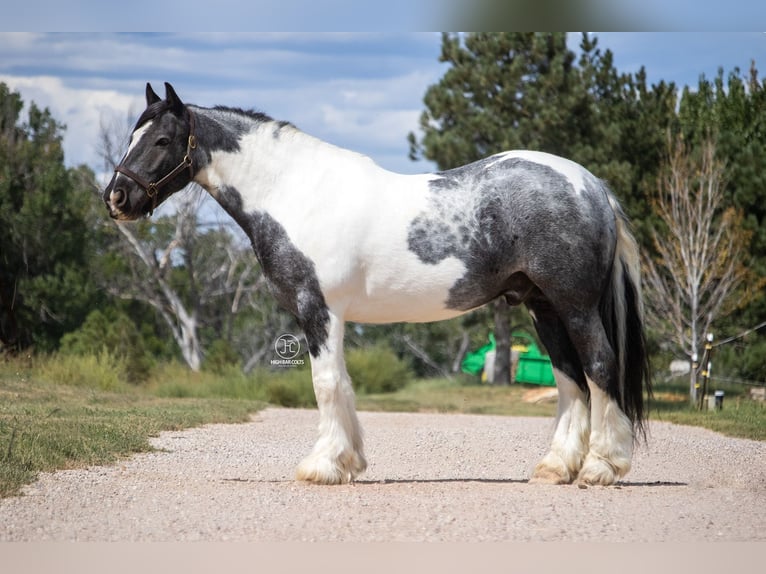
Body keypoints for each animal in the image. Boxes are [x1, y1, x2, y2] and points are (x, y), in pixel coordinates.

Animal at [104, 82, 651, 486]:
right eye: (132, 136)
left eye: (161, 140)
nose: (116, 197)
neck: (295, 192)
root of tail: (591, 185)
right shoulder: (331, 315)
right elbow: (342, 383)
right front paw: (347, 462)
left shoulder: (318, 309)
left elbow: (325, 383)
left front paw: (322, 466)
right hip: (543, 307)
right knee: (570, 379)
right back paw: (556, 468)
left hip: (574, 305)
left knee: (599, 367)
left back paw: (602, 468)